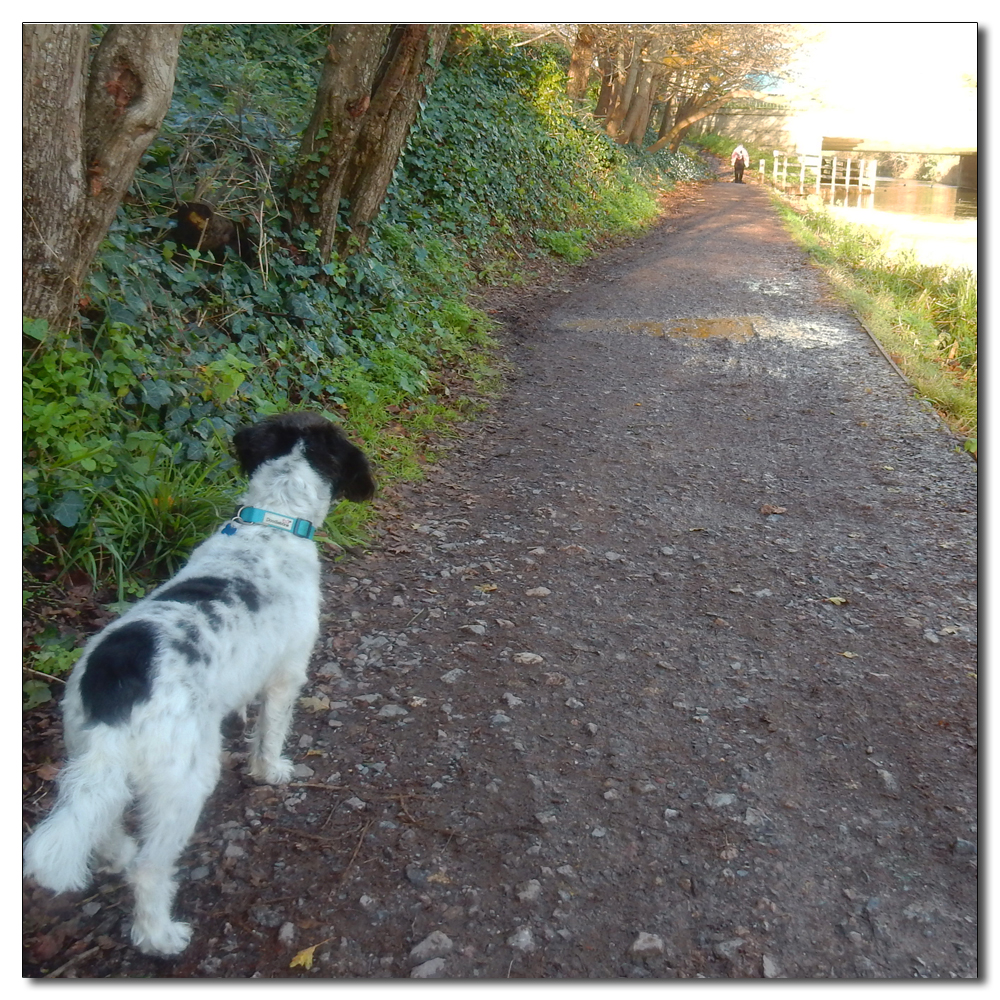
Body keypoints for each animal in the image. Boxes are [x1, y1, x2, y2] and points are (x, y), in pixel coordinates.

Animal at [22, 412, 376, 952]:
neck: (271, 521)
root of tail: (121, 690)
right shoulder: (287, 675)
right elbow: (271, 733)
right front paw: (270, 771)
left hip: (86, 751)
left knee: (99, 815)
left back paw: (117, 853)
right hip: (184, 780)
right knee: (150, 868)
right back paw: (160, 936)